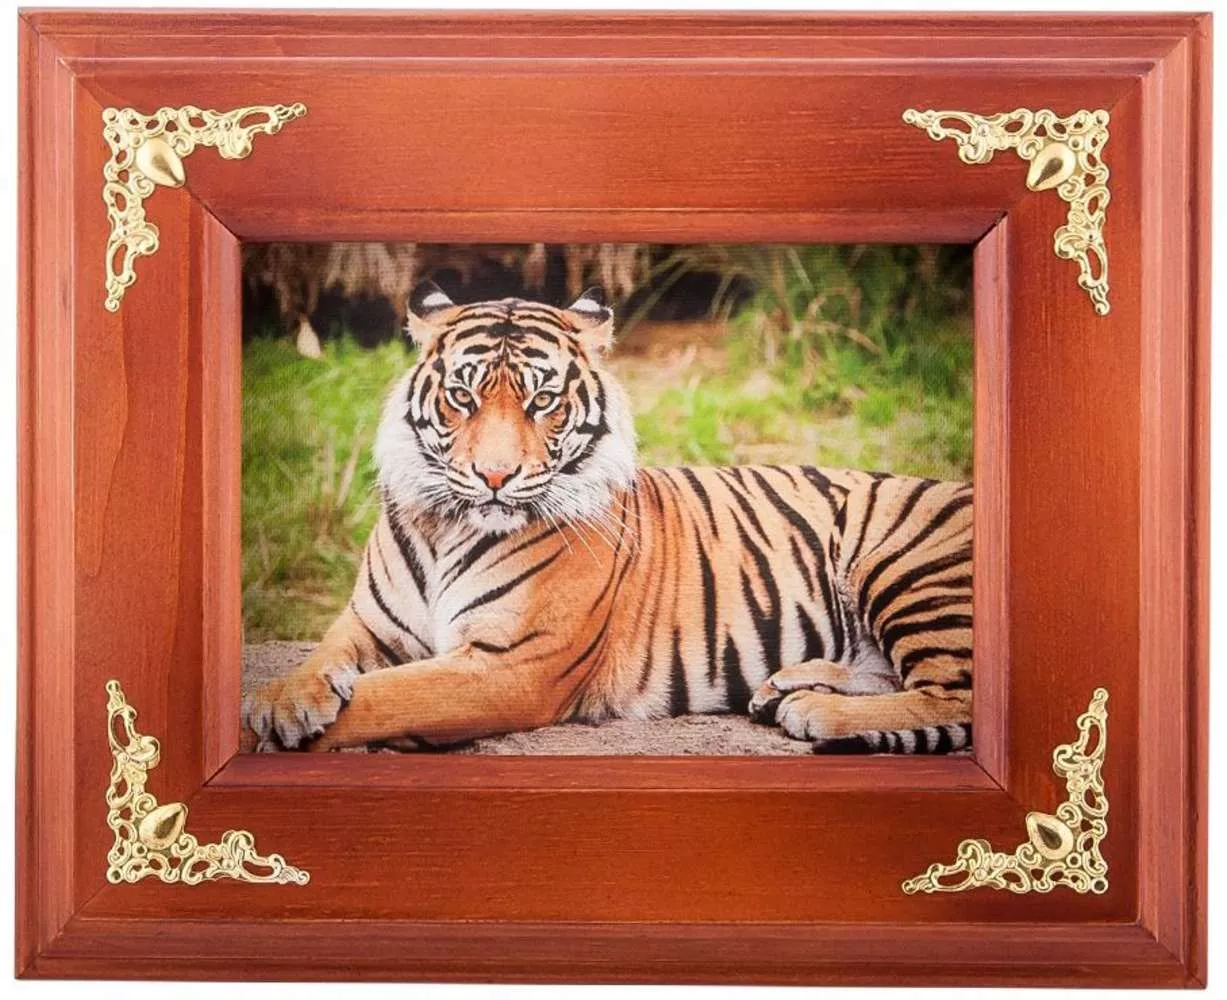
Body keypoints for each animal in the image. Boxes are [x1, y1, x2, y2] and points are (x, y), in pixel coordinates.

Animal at [244, 282, 973, 755]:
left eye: (541, 401)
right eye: (462, 397)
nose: (494, 477)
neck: (445, 525)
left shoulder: (511, 666)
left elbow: (385, 697)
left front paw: (273, 730)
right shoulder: (368, 623)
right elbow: (323, 657)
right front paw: (282, 699)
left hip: (904, 564)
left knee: (955, 695)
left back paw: (812, 710)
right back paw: (784, 685)